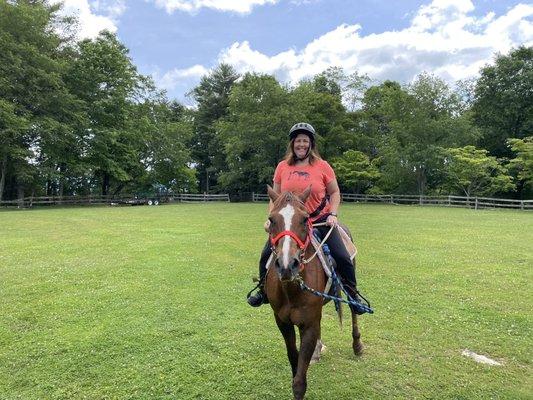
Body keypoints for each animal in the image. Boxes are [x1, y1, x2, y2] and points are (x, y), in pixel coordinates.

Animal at [264, 186, 364, 398]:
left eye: (304, 219)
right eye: (271, 219)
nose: (287, 265)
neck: (291, 290)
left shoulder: (309, 324)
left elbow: (299, 381)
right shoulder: (283, 322)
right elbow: (294, 362)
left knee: (353, 308)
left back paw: (357, 346)